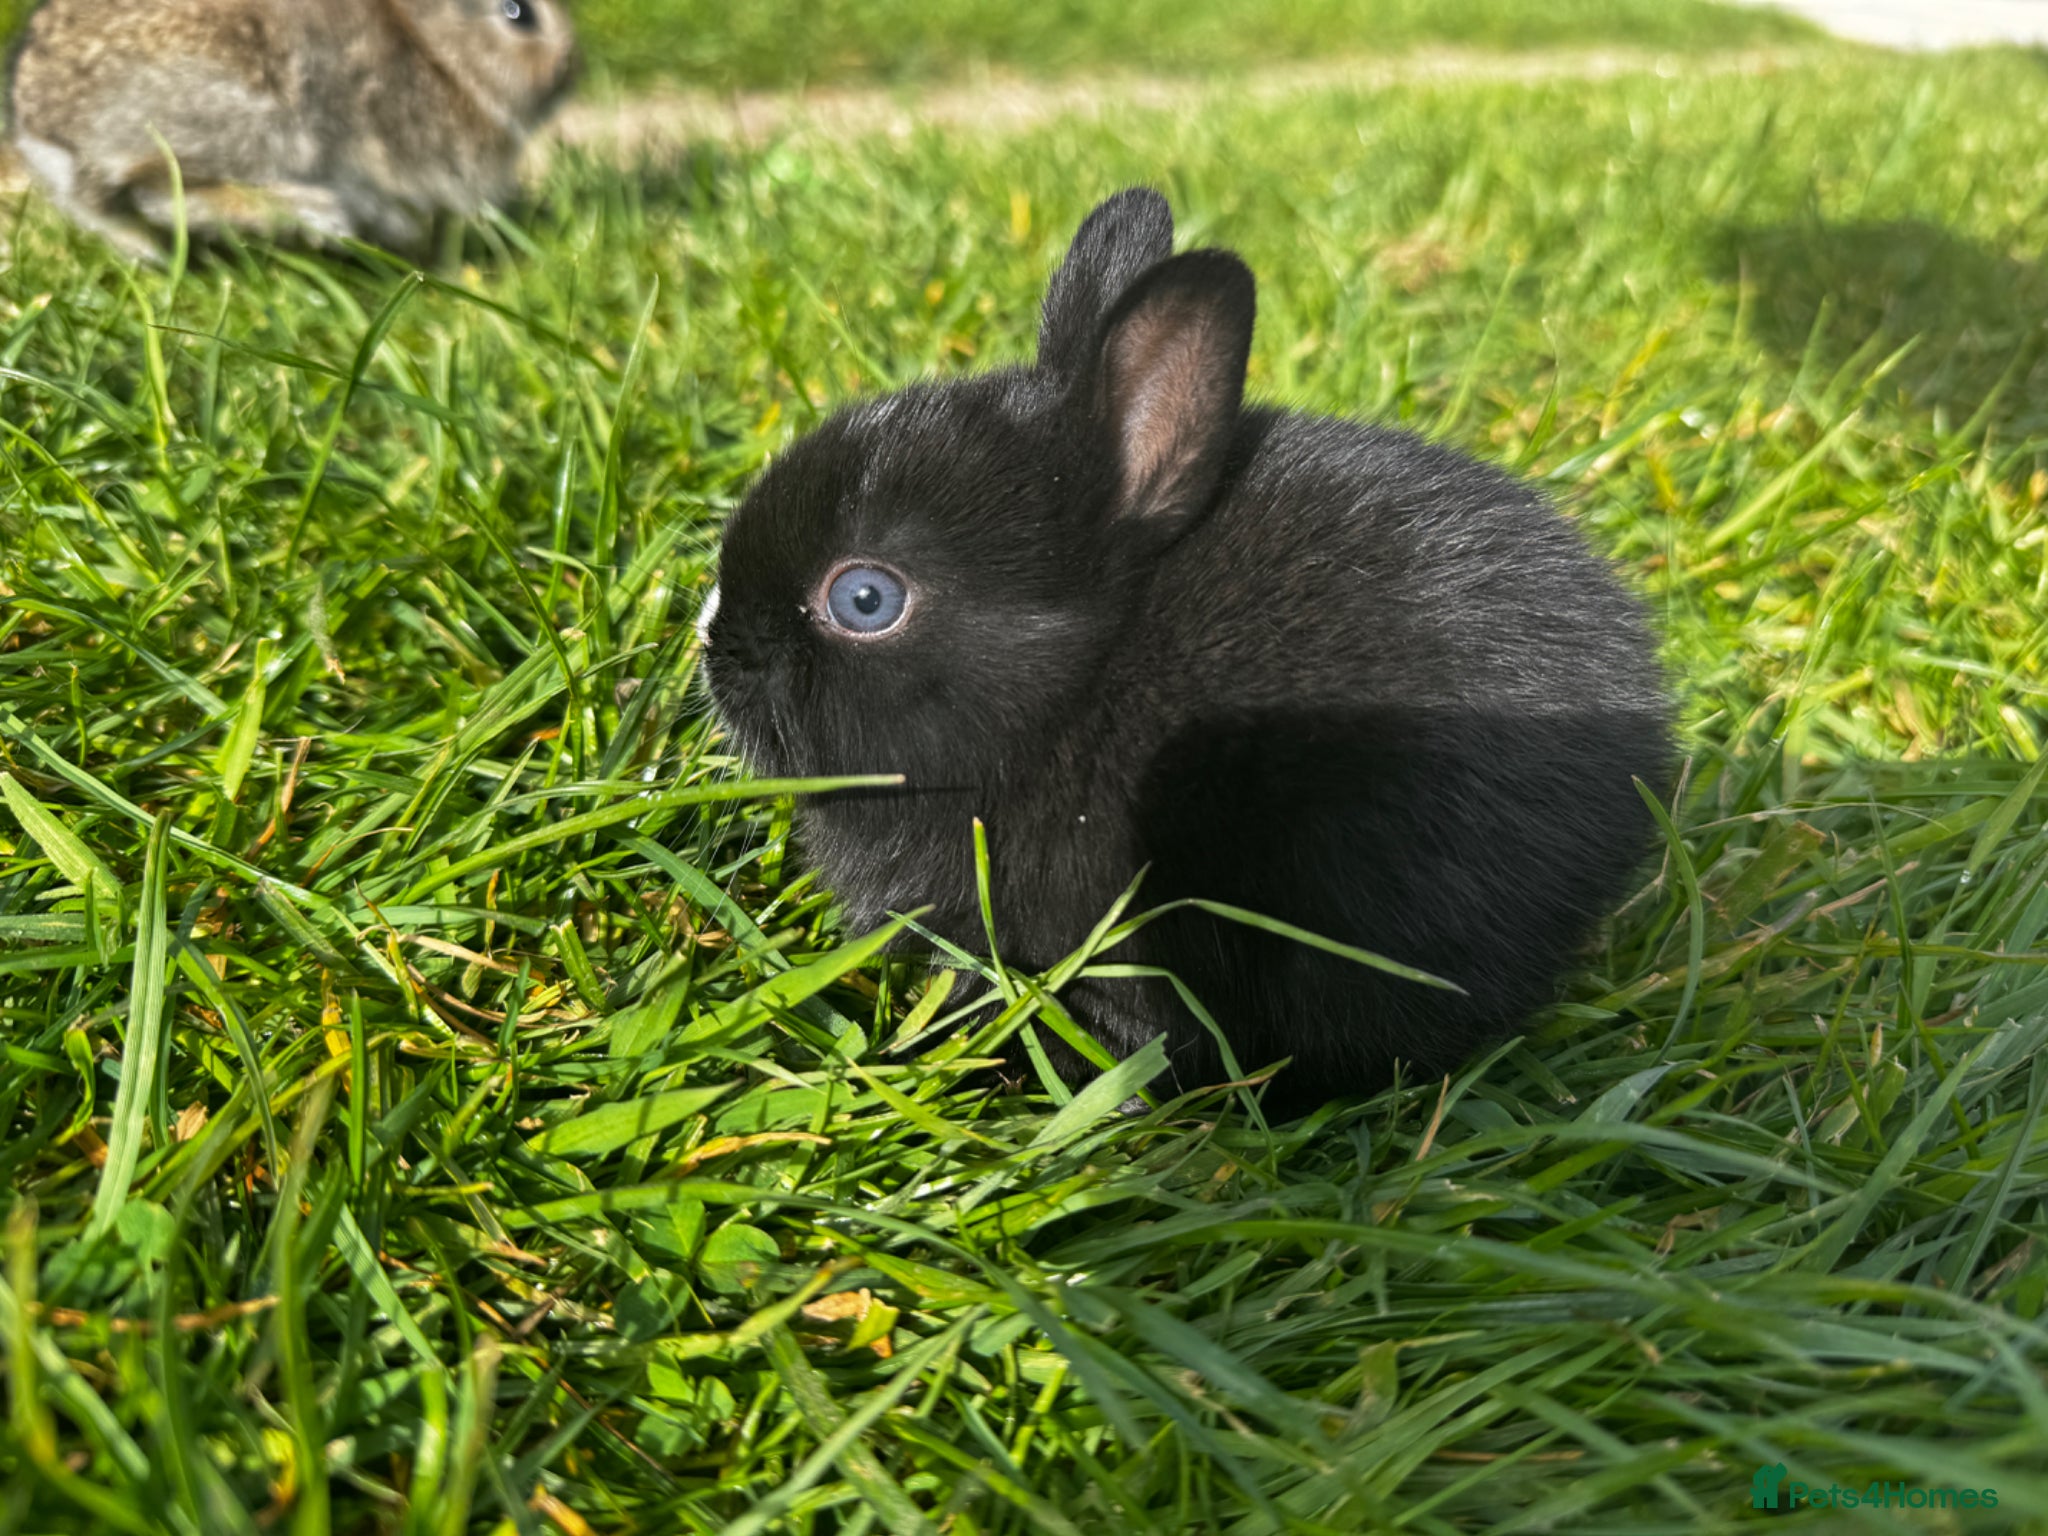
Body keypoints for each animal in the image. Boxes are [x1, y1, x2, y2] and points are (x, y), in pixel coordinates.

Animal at [7, 0, 578, 259]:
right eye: (518, 12)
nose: (573, 67)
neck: (438, 55)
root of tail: (52, 127)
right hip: (254, 120)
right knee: (163, 192)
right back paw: (320, 215)